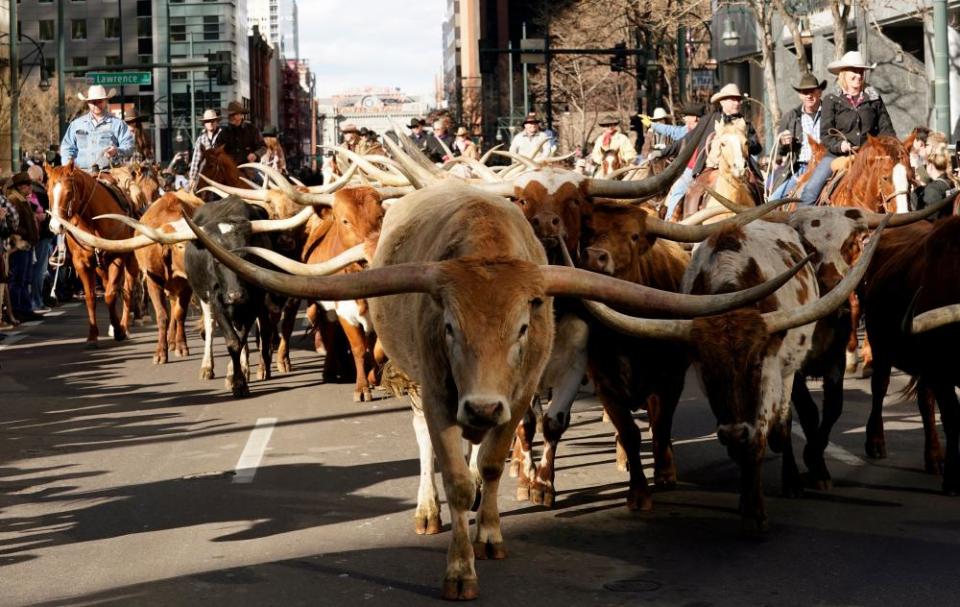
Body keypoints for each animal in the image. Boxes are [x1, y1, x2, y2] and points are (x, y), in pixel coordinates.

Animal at [45, 160, 140, 346]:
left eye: (69, 192)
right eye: (48, 191)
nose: (55, 227)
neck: (93, 222)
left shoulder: (117, 258)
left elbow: (110, 295)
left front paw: (119, 330)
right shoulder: (82, 264)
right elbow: (91, 298)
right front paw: (93, 336)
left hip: (130, 262)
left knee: (127, 291)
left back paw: (124, 326)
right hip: (100, 267)